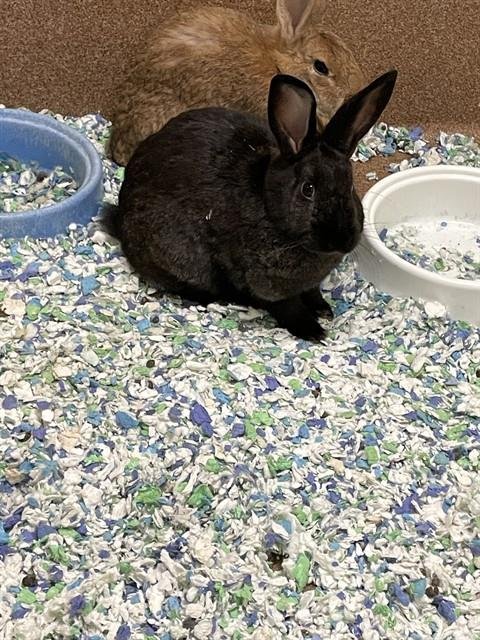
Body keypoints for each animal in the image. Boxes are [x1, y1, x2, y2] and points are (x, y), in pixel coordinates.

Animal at [105, 69, 397, 342]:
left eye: (350, 186)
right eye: (308, 189)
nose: (342, 240)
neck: (271, 209)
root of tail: (119, 216)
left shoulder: (307, 284)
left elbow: (312, 292)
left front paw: (324, 310)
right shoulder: (264, 284)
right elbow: (288, 308)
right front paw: (313, 331)